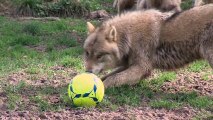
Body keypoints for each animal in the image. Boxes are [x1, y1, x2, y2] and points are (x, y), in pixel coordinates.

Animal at [84, 4, 213, 88]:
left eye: (99, 56)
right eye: (87, 53)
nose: (87, 72)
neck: (130, 36)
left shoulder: (142, 68)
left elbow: (112, 78)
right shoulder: (129, 65)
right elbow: (107, 76)